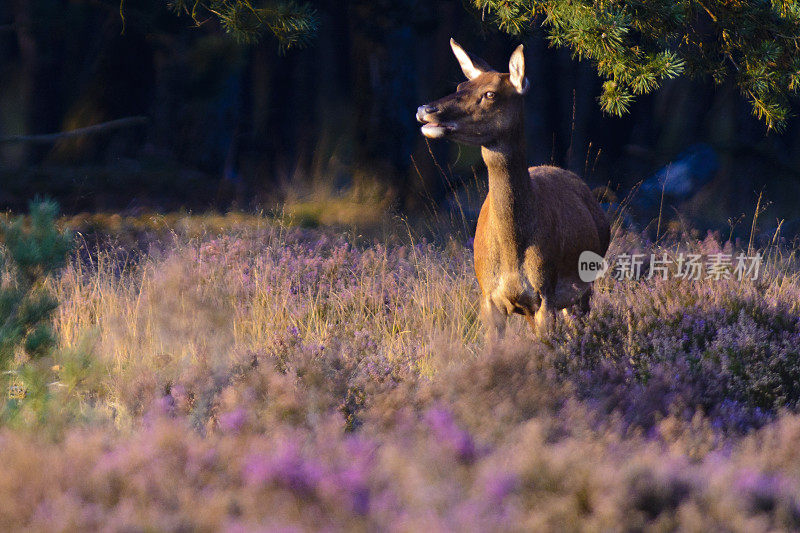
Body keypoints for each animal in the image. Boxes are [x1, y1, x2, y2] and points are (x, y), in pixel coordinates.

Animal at [416, 39, 608, 336]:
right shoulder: (488, 296)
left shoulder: (545, 295)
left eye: (490, 94)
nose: (426, 110)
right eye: (460, 86)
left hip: (587, 282)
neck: (511, 253)